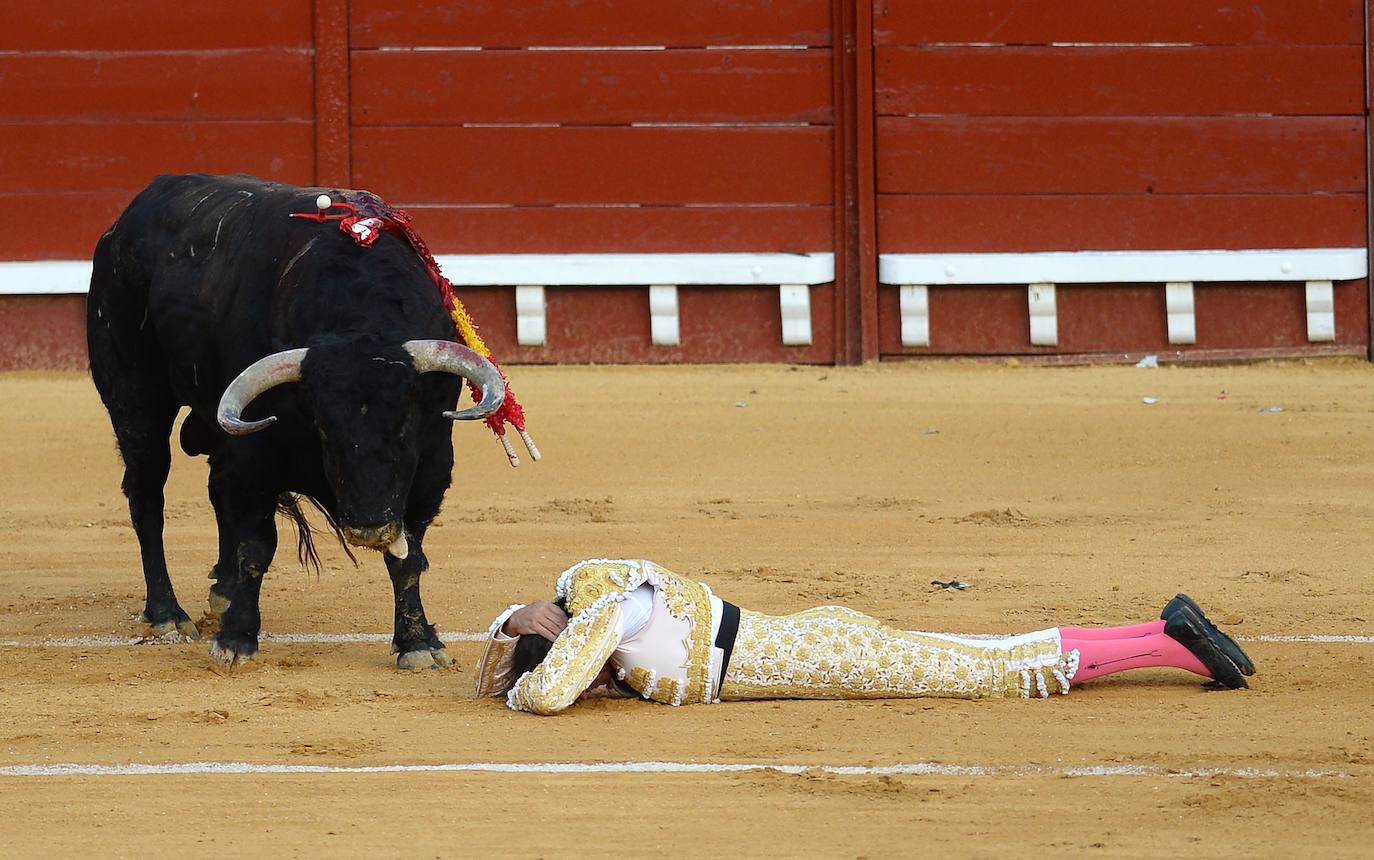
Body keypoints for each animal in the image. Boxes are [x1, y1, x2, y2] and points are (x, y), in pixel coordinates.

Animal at [89, 172, 511, 670]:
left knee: (216, 490)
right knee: (147, 497)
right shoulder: (255, 454)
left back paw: (222, 590)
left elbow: (409, 555)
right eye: (322, 426)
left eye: (405, 425)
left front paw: (418, 642)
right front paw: (236, 639)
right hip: (135, 398)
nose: (369, 528)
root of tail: (123, 223)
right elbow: (257, 545)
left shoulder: (432, 463)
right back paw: (167, 615)